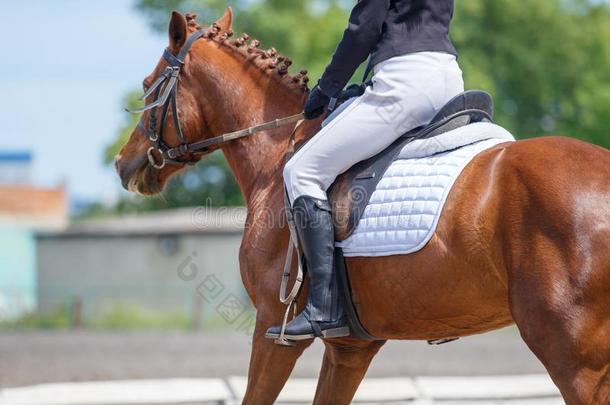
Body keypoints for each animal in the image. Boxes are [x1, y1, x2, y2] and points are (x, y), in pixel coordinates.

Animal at [115, 9, 610, 404]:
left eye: (148, 86)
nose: (124, 163)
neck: (277, 154)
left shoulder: (274, 331)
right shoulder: (351, 349)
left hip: (575, 361)